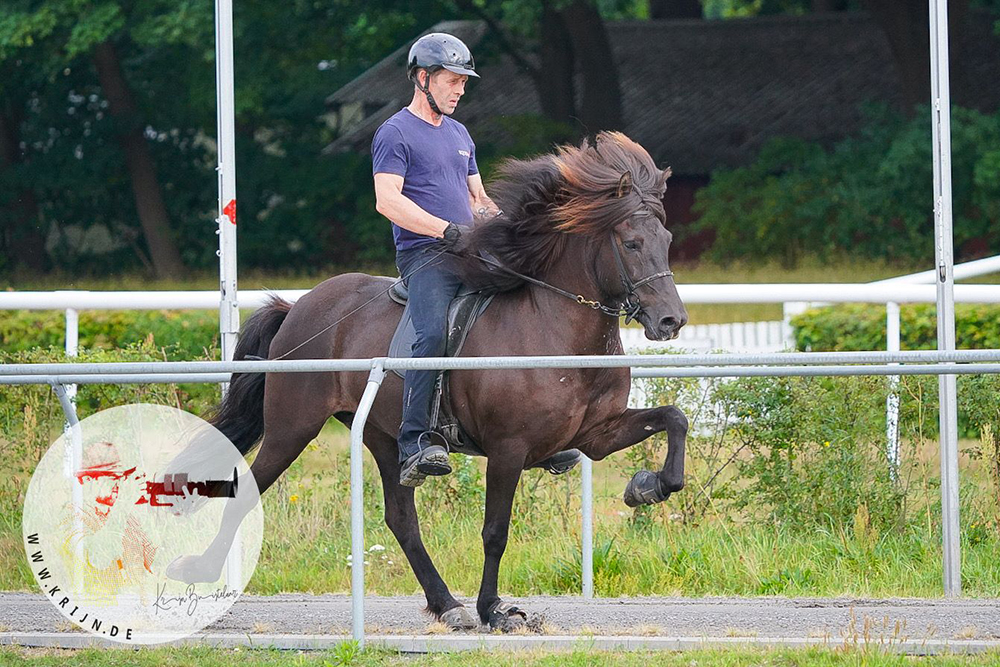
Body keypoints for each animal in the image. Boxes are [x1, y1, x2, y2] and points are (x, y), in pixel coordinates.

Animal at [168, 130, 692, 632]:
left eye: (666, 239)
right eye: (631, 243)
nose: (672, 321)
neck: (556, 330)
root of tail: (299, 305)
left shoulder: (596, 434)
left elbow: (675, 419)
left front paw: (648, 486)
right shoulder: (508, 448)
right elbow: (495, 532)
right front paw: (494, 611)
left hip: (383, 437)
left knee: (401, 520)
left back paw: (446, 605)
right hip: (291, 427)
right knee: (251, 490)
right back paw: (200, 574)